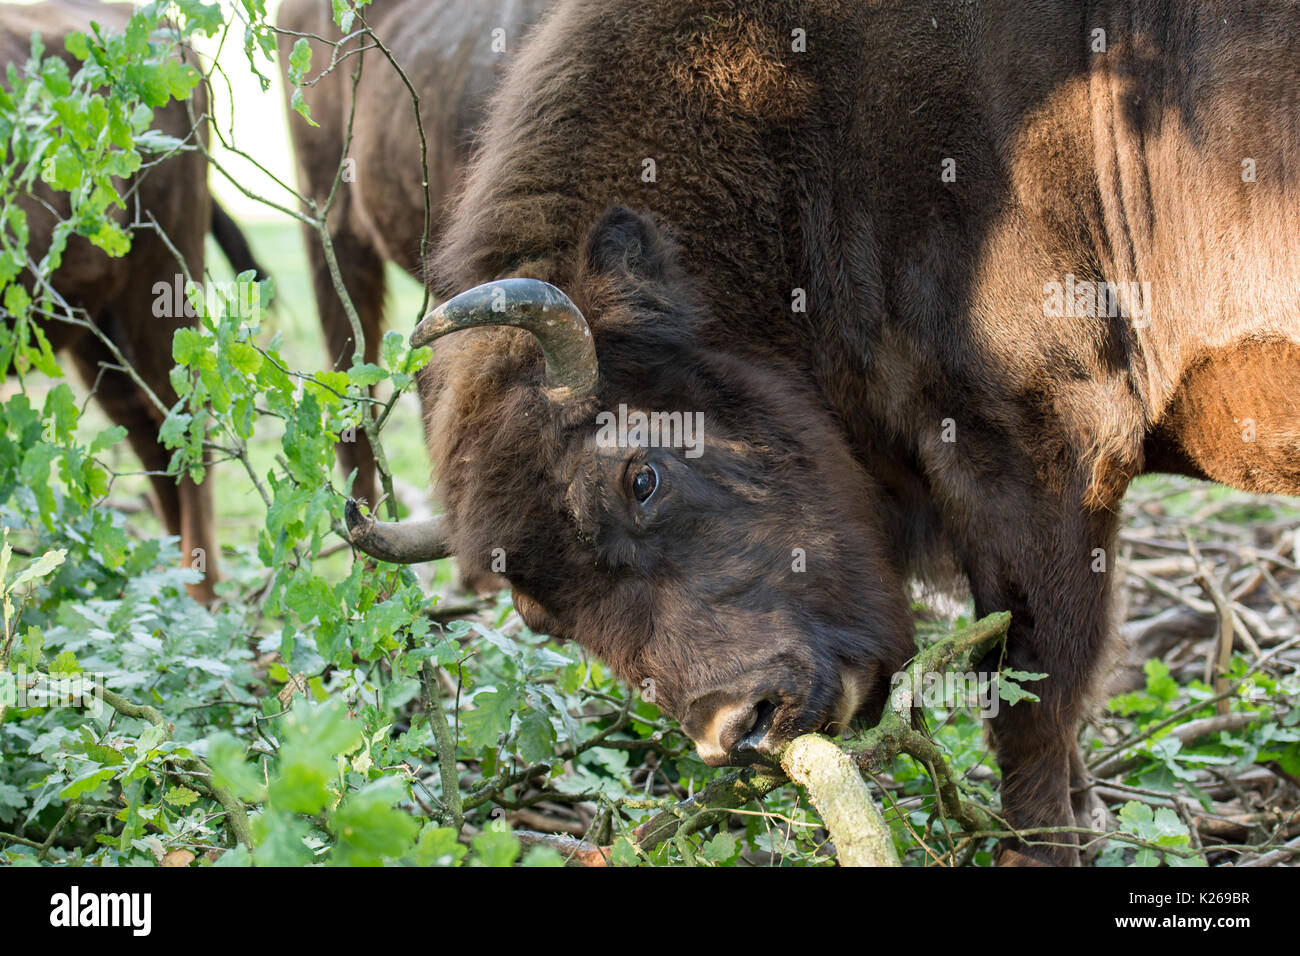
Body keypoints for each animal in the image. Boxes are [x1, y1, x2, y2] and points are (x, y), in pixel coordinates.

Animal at [345, 0, 1300, 868]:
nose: (738, 728)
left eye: (640, 478)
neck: (802, 130)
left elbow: (1033, 704)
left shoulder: (1037, 463)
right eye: (543, 616)